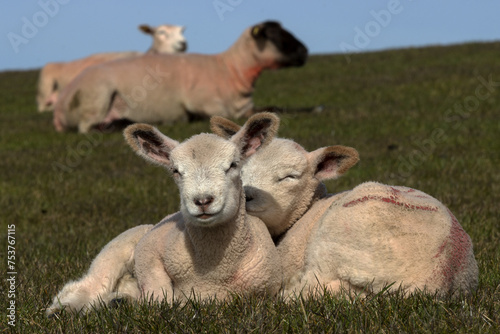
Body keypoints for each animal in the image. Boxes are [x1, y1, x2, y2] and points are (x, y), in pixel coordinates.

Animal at [46, 112, 282, 316]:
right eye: (176, 171)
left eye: (233, 165)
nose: (202, 201)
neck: (213, 271)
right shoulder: (148, 251)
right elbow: (160, 298)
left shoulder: (265, 290)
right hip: (115, 251)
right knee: (89, 285)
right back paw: (62, 309)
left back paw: (117, 301)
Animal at [52, 20, 306, 133]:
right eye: (275, 35)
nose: (305, 52)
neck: (231, 70)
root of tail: (58, 107)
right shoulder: (207, 104)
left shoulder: (244, 108)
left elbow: (275, 108)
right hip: (97, 95)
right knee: (88, 127)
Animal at [210, 115, 476, 298]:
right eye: (238, 168)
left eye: (289, 177)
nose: (248, 195)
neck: (307, 210)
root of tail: (434, 277)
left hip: (333, 244)